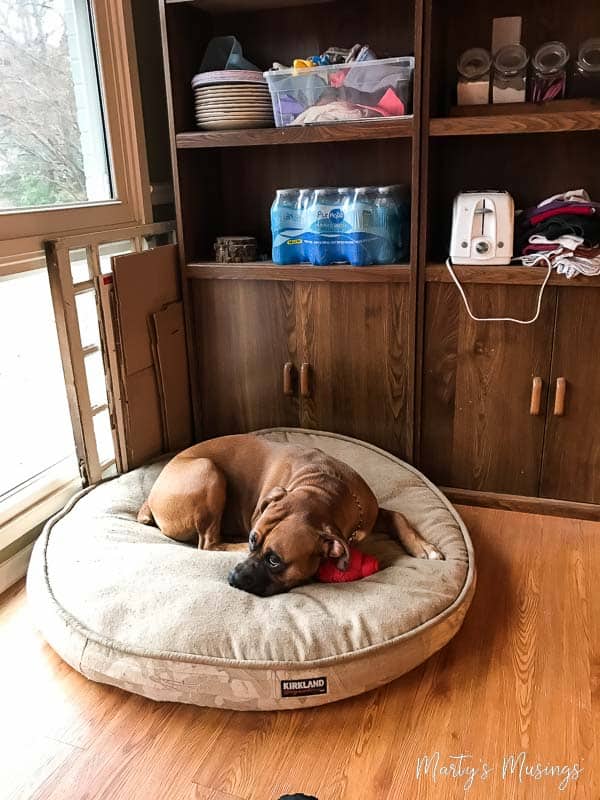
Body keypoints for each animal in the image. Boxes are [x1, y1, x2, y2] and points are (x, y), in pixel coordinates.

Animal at [138, 432, 442, 592]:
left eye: (274, 560)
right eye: (253, 539)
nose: (233, 577)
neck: (324, 489)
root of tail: (150, 497)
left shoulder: (373, 512)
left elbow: (399, 517)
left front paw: (424, 547)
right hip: (208, 470)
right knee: (208, 543)